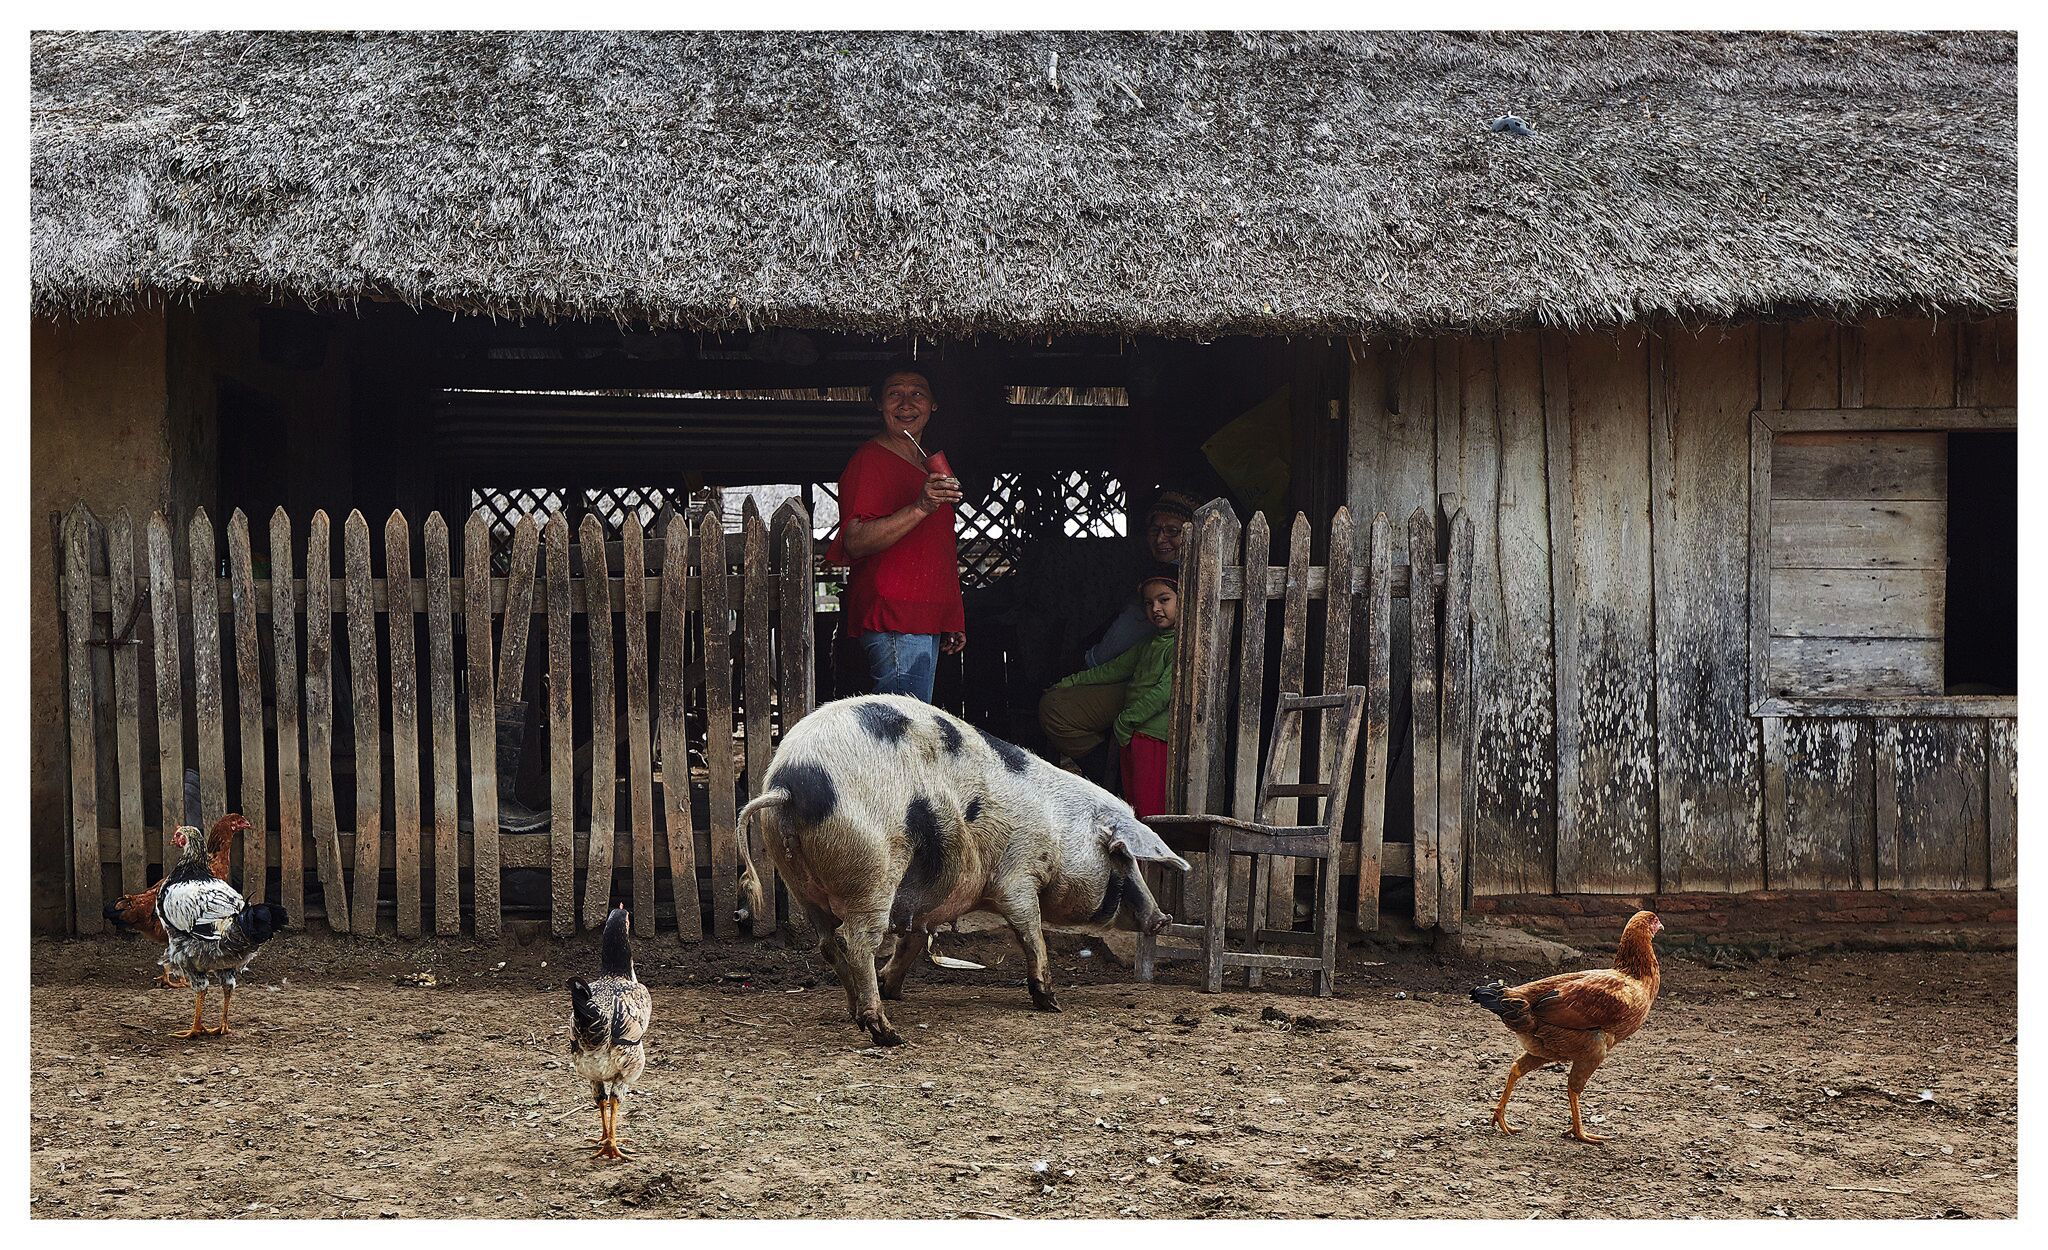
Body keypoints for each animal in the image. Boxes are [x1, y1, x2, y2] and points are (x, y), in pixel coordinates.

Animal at [737, 692, 1196, 1040]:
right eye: (1122, 856)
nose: (1162, 918)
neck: (1059, 831)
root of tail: (787, 785)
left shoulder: (928, 899)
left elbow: (914, 940)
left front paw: (894, 986)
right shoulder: (1018, 874)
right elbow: (1031, 931)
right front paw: (1052, 1003)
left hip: (801, 885)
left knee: (827, 943)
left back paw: (858, 1012)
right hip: (873, 870)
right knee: (855, 939)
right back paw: (887, 1032)